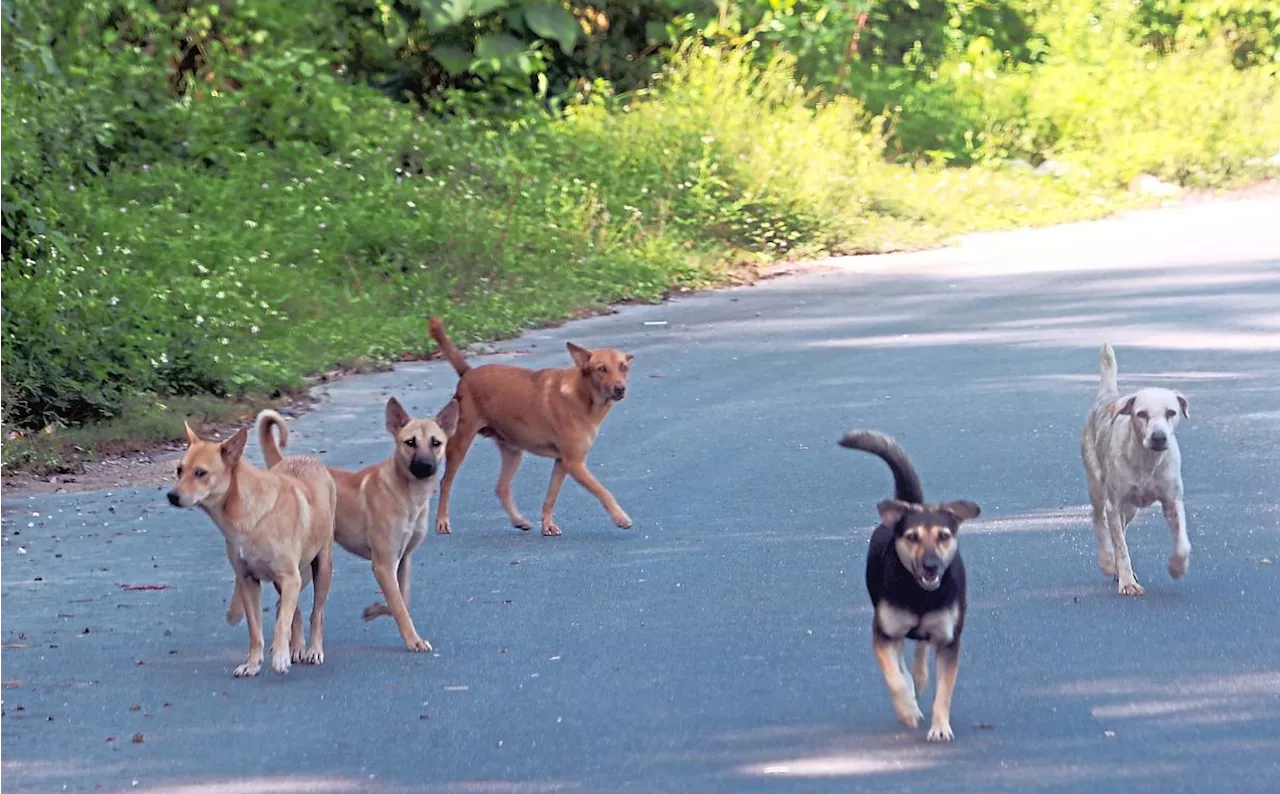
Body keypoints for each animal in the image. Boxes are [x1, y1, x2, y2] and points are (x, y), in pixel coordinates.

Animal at [167, 412, 337, 681]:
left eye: (201, 473)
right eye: (179, 470)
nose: (171, 496)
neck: (249, 518)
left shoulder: (291, 578)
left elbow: (281, 625)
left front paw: (279, 658)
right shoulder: (248, 581)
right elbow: (256, 630)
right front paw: (253, 664)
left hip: (321, 569)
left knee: (315, 613)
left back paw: (312, 650)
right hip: (284, 582)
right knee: (294, 612)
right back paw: (296, 647)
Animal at [427, 318, 632, 535]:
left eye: (623, 367)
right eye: (601, 369)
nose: (620, 388)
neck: (583, 396)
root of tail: (468, 373)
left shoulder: (562, 462)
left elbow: (550, 497)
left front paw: (547, 525)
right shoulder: (575, 463)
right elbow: (603, 491)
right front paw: (621, 518)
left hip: (513, 451)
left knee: (501, 488)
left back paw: (518, 520)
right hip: (460, 444)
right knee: (445, 482)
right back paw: (442, 521)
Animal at [839, 430, 977, 742]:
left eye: (943, 536)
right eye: (912, 537)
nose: (931, 566)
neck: (919, 595)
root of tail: (908, 503)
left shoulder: (949, 640)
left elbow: (944, 691)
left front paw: (940, 727)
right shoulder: (884, 633)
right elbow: (896, 679)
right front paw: (908, 711)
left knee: (922, 649)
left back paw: (921, 677)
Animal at [1080, 343, 1187, 594]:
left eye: (1171, 412)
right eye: (1142, 414)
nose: (1159, 437)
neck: (1147, 462)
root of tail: (1108, 397)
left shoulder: (1172, 500)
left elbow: (1183, 543)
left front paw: (1177, 568)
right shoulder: (1114, 503)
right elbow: (1120, 548)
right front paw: (1127, 582)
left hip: (1131, 509)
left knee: (1120, 527)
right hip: (1097, 487)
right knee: (1099, 521)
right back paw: (1108, 562)